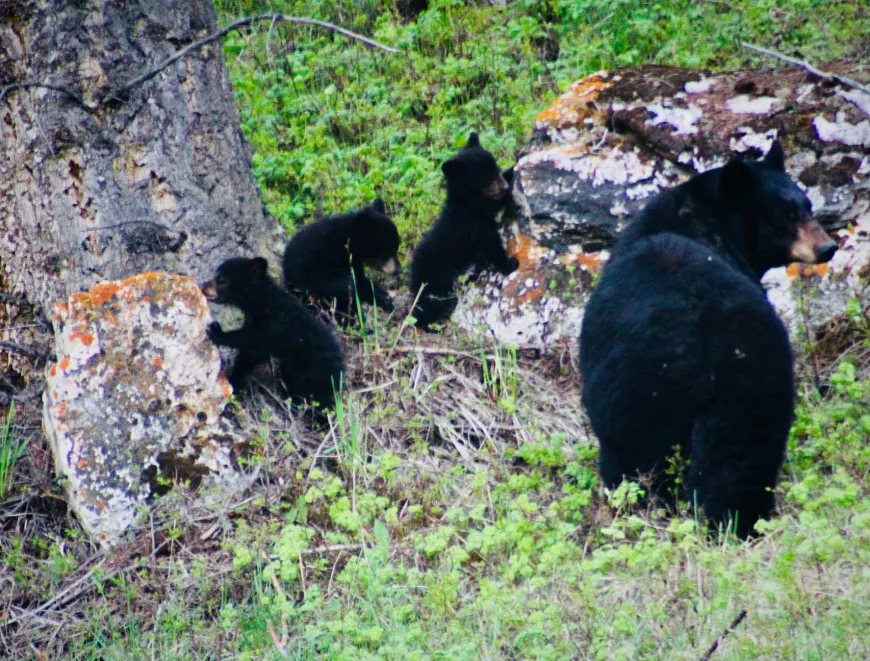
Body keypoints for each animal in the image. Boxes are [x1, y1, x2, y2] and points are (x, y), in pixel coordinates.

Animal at [201, 257, 344, 412]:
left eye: (221, 278)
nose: (203, 287)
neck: (263, 303)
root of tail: (341, 371)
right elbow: (249, 355)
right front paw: (234, 379)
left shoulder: (276, 325)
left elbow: (253, 340)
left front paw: (216, 332)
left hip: (311, 374)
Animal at [409, 132, 519, 331]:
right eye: (484, 177)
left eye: (495, 168)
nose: (505, 187)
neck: (467, 200)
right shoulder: (472, 221)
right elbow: (490, 243)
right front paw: (510, 263)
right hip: (436, 279)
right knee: (430, 304)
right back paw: (428, 326)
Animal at [579, 141, 838, 538]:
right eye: (789, 213)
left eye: (806, 206)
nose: (827, 247)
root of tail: (706, 352)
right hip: (753, 384)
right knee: (740, 460)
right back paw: (738, 522)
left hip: (640, 393)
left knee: (634, 466)